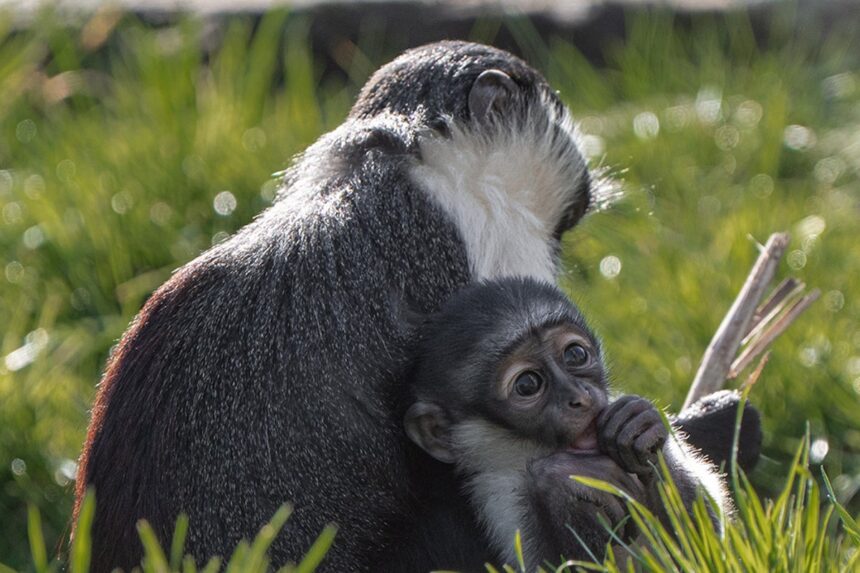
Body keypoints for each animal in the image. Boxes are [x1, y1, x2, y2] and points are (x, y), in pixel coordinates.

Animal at [392, 277, 734, 571]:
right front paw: (560, 478)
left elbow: (699, 552)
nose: (579, 397)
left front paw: (639, 425)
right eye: (527, 384)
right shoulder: (500, 494)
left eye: (575, 354)